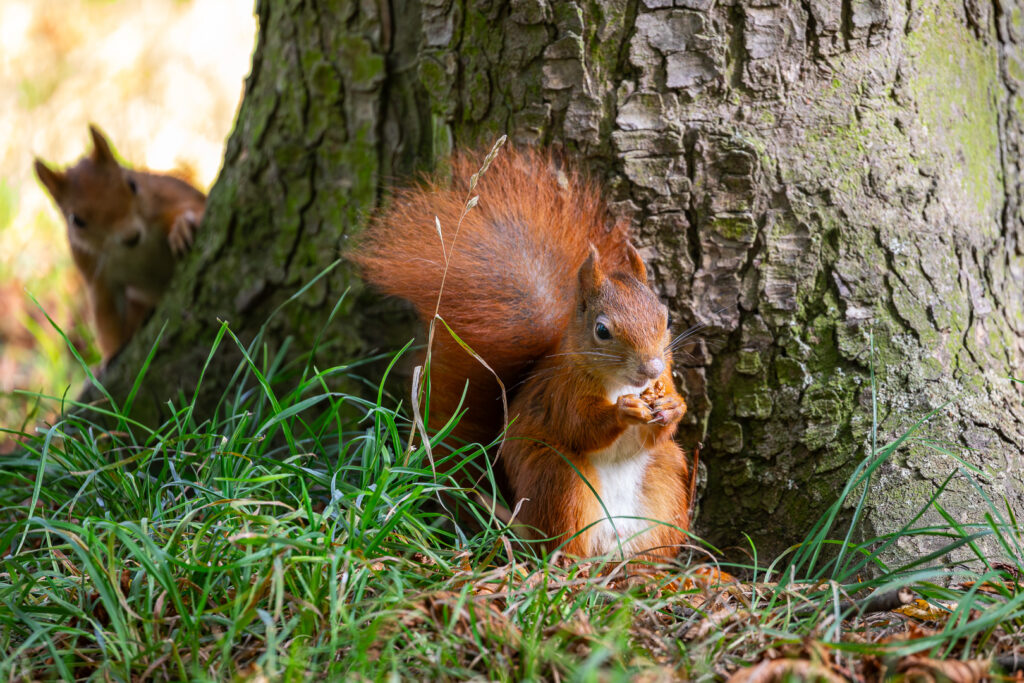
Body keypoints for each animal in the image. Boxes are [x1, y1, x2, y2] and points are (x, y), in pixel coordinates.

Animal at [34, 125, 206, 363]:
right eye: (76, 220)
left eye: (132, 184)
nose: (131, 235)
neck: (132, 251)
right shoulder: (95, 274)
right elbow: (106, 317)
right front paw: (108, 358)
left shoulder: (166, 198)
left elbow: (194, 206)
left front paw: (182, 227)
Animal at [353, 147, 690, 561]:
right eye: (602, 331)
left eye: (666, 316)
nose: (652, 368)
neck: (619, 382)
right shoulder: (563, 393)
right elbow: (580, 427)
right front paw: (623, 411)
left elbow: (663, 425)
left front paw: (673, 407)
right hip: (561, 479)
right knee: (563, 543)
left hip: (664, 482)